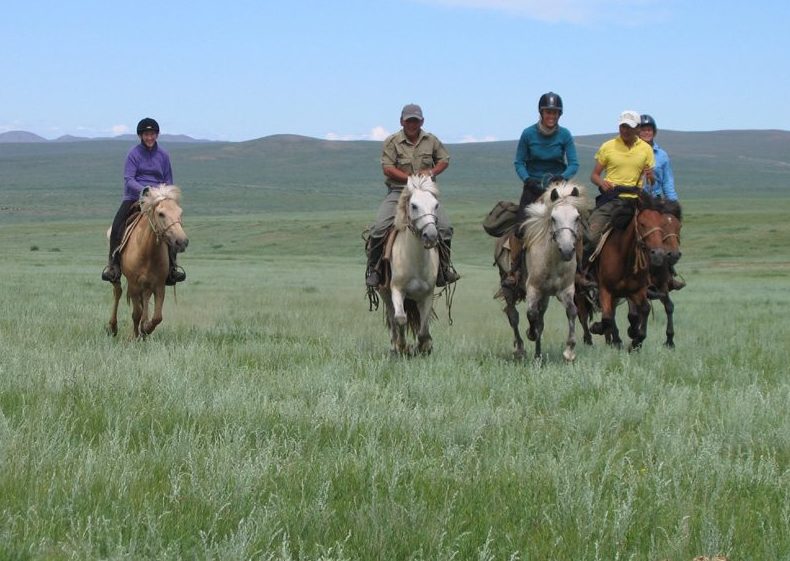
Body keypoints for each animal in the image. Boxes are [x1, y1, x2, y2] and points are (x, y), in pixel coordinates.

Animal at [107, 186, 189, 340]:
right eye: (161, 213)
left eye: (180, 212)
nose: (182, 241)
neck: (147, 251)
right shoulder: (133, 284)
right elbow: (136, 313)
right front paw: (134, 336)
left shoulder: (159, 285)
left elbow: (157, 317)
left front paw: (145, 329)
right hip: (119, 278)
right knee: (117, 292)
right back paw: (112, 328)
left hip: (147, 284)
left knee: (144, 299)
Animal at [378, 174, 442, 354]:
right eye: (414, 206)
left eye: (436, 205)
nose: (431, 236)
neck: (416, 262)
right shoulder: (397, 289)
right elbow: (400, 318)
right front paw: (402, 346)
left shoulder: (427, 294)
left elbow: (423, 327)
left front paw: (424, 346)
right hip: (384, 293)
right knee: (392, 317)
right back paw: (395, 345)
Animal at [496, 182, 592, 360]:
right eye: (553, 218)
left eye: (577, 217)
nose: (567, 250)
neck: (552, 261)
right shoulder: (533, 289)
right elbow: (531, 315)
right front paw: (530, 333)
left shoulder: (565, 290)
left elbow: (571, 311)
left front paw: (569, 351)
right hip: (508, 287)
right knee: (513, 316)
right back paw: (520, 350)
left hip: (545, 296)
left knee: (539, 319)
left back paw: (538, 355)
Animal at [576, 194, 668, 350]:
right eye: (642, 223)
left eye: (662, 223)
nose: (658, 254)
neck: (623, 255)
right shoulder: (605, 289)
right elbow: (607, 318)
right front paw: (597, 327)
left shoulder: (636, 291)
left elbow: (643, 310)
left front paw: (635, 339)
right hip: (580, 291)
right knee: (583, 316)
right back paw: (590, 341)